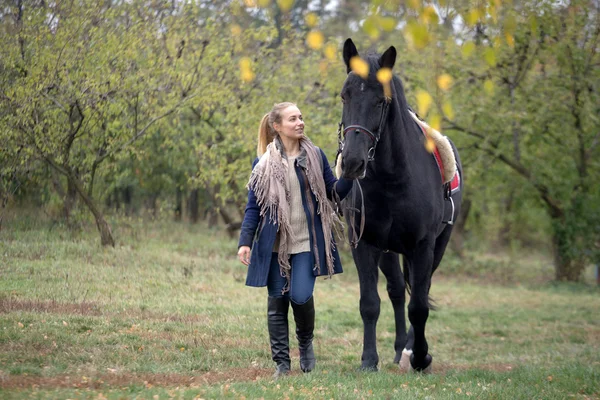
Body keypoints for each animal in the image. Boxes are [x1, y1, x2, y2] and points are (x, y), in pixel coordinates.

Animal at [338, 38, 464, 372]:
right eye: (344, 95)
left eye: (381, 101)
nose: (353, 162)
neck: (391, 178)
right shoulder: (364, 243)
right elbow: (370, 303)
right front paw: (369, 360)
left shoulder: (423, 246)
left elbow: (419, 306)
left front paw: (420, 356)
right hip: (389, 250)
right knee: (395, 290)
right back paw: (397, 350)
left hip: (437, 246)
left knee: (420, 291)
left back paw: (408, 350)